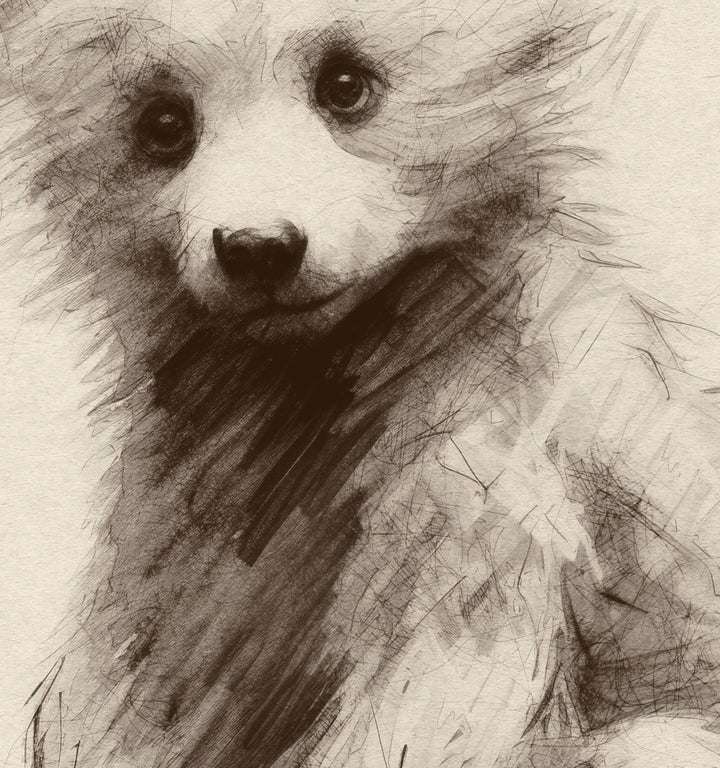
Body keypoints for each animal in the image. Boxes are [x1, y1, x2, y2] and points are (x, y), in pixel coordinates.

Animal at [2, 0, 720, 766]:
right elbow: (135, 693)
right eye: (164, 121)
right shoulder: (192, 532)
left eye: (345, 84)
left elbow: (426, 707)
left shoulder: (486, 477)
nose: (259, 248)